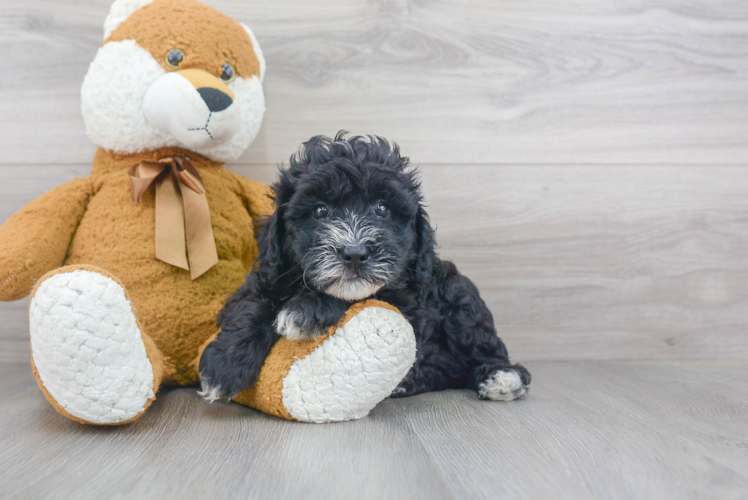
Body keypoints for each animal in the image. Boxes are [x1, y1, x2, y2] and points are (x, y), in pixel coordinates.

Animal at [197, 132, 524, 402]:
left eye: (382, 208)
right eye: (319, 211)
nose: (354, 253)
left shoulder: (405, 301)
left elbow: (358, 299)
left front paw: (305, 311)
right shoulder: (269, 273)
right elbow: (251, 305)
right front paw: (224, 367)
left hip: (461, 297)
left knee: (485, 348)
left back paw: (502, 377)